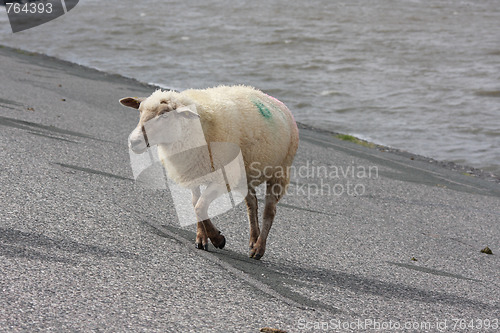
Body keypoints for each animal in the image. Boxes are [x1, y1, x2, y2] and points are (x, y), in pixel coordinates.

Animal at [121, 84, 298, 258]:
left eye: (164, 115)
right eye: (140, 111)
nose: (133, 141)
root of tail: (276, 101)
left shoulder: (222, 177)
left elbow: (200, 206)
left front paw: (217, 239)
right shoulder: (192, 172)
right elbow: (196, 204)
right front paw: (202, 238)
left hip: (280, 171)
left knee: (269, 211)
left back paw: (259, 248)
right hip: (243, 174)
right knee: (252, 202)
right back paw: (253, 240)